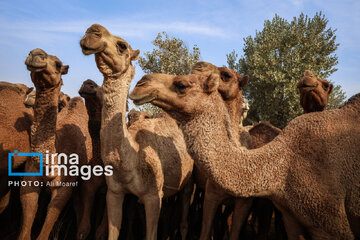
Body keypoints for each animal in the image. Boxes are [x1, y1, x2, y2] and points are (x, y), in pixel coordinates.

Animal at [19, 47, 93, 239]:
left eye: (58, 64)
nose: (35, 53)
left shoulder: (64, 187)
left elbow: (50, 218)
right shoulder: (29, 179)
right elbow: (28, 218)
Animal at [80, 23, 194, 240]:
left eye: (122, 45)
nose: (92, 31)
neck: (129, 160)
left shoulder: (153, 196)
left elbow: (151, 234)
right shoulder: (114, 193)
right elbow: (111, 232)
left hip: (189, 185)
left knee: (184, 220)